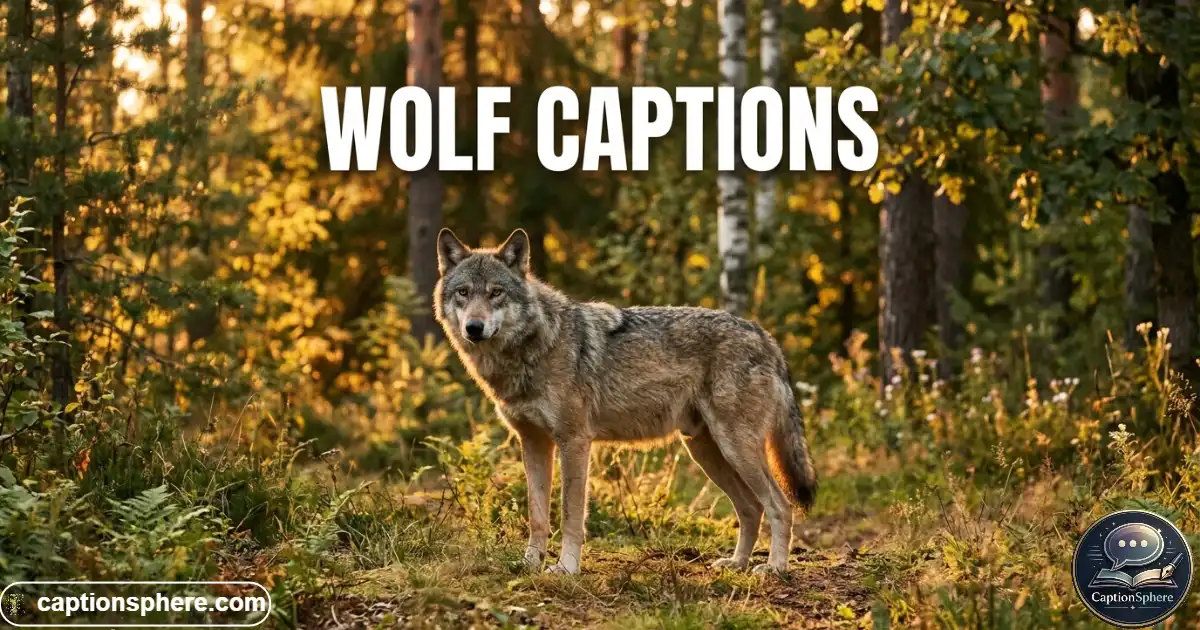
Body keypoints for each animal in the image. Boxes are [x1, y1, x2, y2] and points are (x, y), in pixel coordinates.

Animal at [433, 228, 817, 575]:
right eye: (464, 293)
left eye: (496, 293)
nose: (474, 327)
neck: (533, 347)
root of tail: (765, 337)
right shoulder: (533, 442)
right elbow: (537, 514)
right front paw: (530, 565)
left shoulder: (574, 441)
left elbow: (570, 513)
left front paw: (566, 567)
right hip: (706, 451)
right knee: (751, 508)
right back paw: (737, 564)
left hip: (735, 449)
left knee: (780, 506)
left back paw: (774, 568)